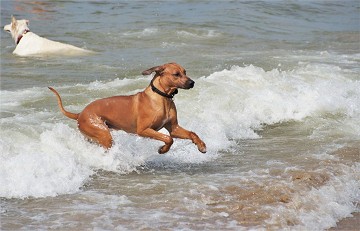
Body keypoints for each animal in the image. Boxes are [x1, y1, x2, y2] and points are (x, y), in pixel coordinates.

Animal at [48, 62, 205, 154]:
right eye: (176, 74)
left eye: (185, 72)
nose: (192, 82)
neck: (162, 98)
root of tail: (80, 113)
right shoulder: (143, 130)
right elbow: (168, 139)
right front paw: (163, 150)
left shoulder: (174, 128)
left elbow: (191, 133)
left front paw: (201, 145)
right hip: (102, 133)